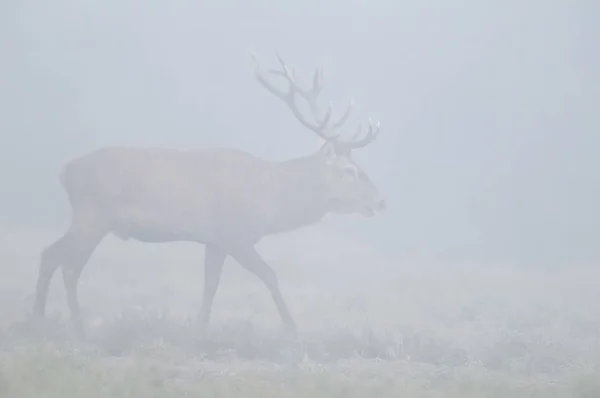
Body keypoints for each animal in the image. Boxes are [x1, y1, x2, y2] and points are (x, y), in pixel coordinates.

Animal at [32, 52, 386, 338]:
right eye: (349, 171)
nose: (380, 200)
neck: (272, 200)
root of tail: (65, 170)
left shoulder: (214, 241)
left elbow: (210, 285)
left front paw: (199, 329)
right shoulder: (236, 234)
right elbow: (270, 275)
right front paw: (292, 329)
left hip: (88, 219)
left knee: (50, 254)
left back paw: (38, 319)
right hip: (93, 215)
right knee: (68, 265)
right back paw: (77, 328)